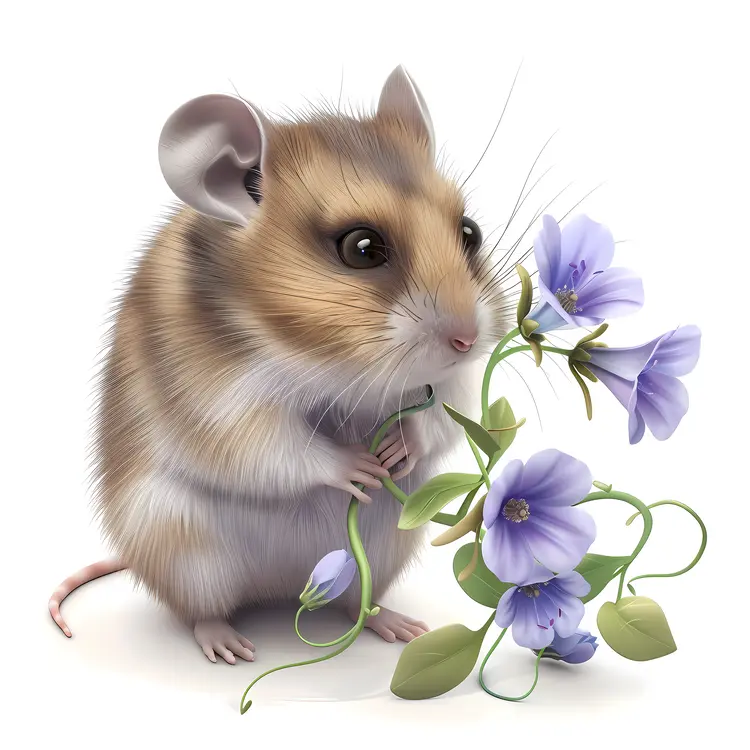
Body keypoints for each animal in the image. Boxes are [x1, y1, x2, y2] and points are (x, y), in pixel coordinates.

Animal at [49, 65, 513, 664]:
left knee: (356, 602)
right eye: (362, 248)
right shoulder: (215, 401)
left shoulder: (454, 385)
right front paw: (360, 468)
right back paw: (227, 645)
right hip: (181, 542)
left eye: (469, 232)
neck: (327, 362)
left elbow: (444, 415)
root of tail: (280, 587)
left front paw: (396, 449)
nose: (468, 339)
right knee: (201, 609)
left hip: (386, 543)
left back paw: (396, 625)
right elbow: (276, 447)